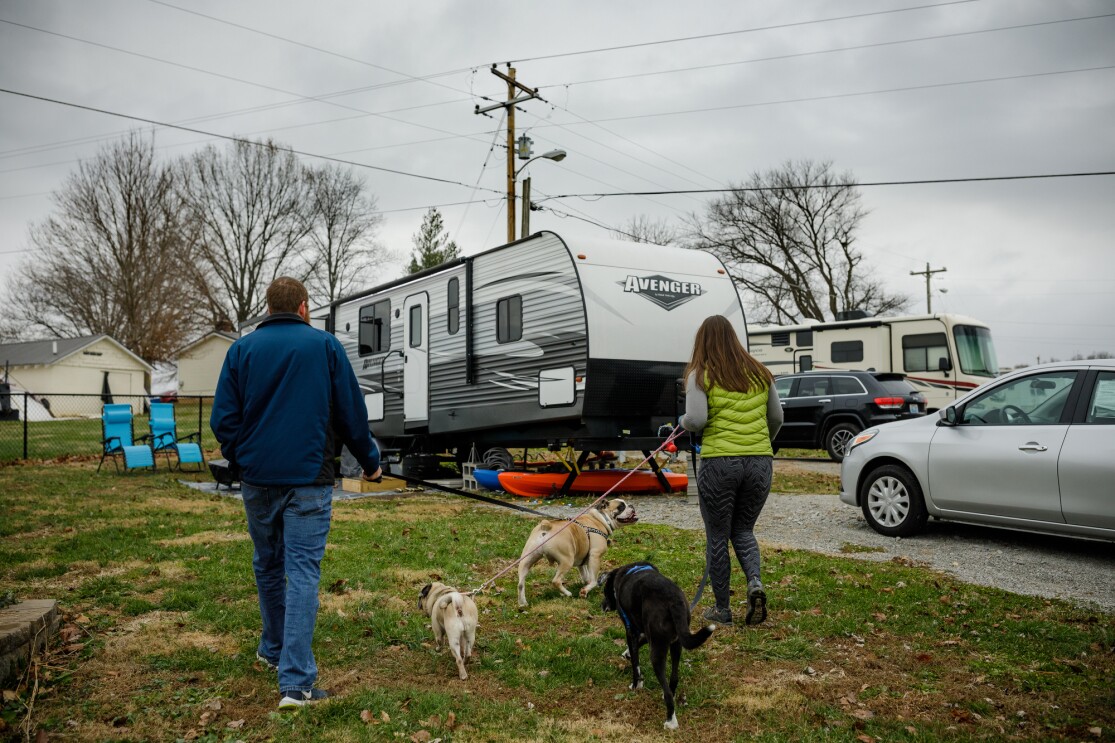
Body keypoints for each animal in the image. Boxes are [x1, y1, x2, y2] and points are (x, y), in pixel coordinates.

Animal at [602, 557, 713, 727]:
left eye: (604, 591)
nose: (602, 606)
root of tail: (673, 600)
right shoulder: (646, 632)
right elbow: (638, 645)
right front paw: (627, 654)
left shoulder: (630, 629)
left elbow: (635, 664)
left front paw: (635, 685)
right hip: (676, 643)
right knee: (674, 677)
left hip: (657, 652)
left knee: (667, 692)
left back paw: (670, 721)